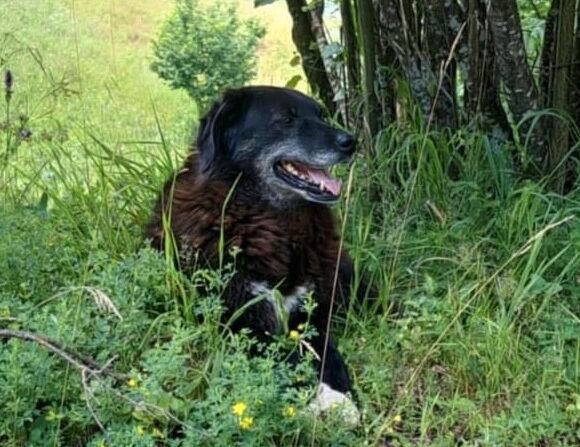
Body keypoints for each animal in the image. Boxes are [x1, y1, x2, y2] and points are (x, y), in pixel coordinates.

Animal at [147, 86, 368, 426]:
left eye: (320, 114)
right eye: (287, 119)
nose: (350, 142)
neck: (271, 222)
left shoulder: (310, 314)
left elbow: (325, 351)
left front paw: (337, 394)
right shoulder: (241, 323)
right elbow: (287, 356)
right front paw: (323, 399)